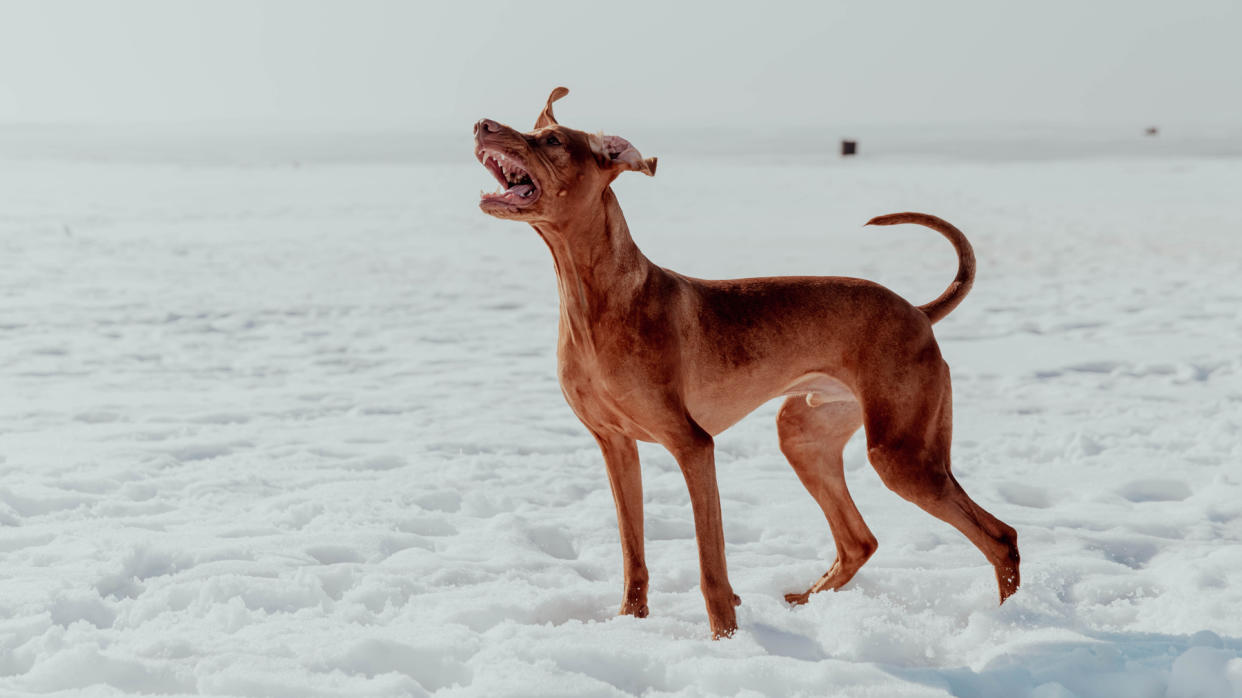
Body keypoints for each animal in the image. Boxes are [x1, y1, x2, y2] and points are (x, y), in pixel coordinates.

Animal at [471, 86, 1018, 635]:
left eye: (553, 140)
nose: (481, 125)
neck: (594, 300)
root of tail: (919, 313)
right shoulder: (615, 446)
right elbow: (633, 552)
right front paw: (631, 621)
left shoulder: (693, 445)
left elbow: (710, 563)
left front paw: (724, 636)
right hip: (804, 436)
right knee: (859, 541)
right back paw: (804, 601)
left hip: (902, 454)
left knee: (1001, 537)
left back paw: (1012, 623)